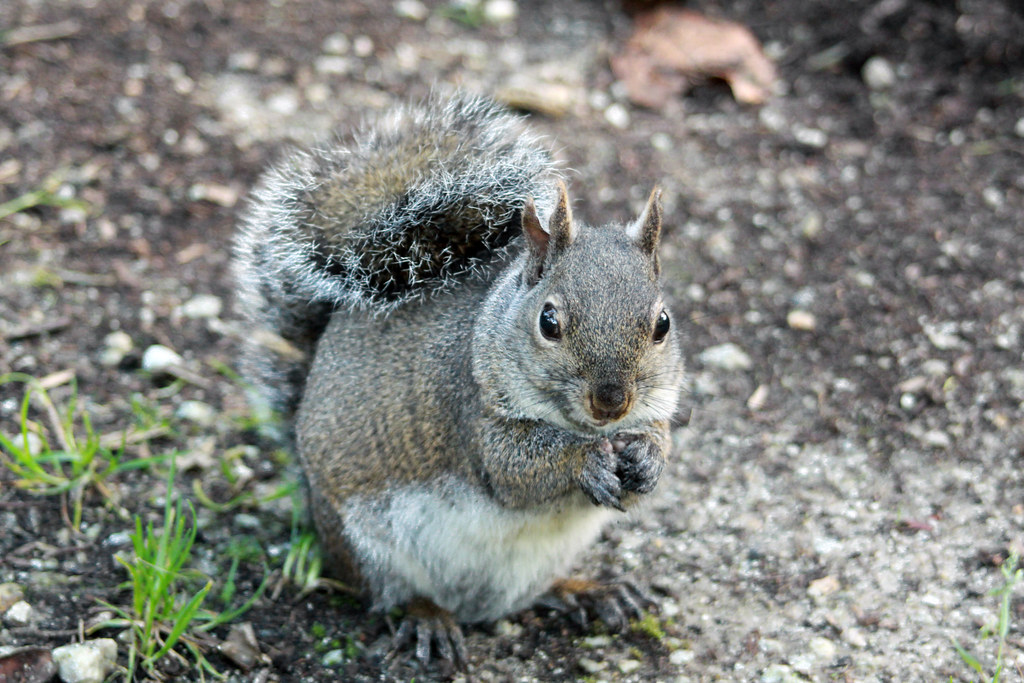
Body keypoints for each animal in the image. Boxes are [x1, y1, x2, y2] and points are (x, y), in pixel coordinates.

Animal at [233, 93, 685, 671]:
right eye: (548, 322)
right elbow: (514, 469)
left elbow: (659, 435)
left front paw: (648, 459)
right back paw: (429, 618)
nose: (611, 402)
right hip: (366, 549)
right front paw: (585, 462)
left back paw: (589, 590)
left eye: (663, 323)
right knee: (391, 595)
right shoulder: (471, 414)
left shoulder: (655, 408)